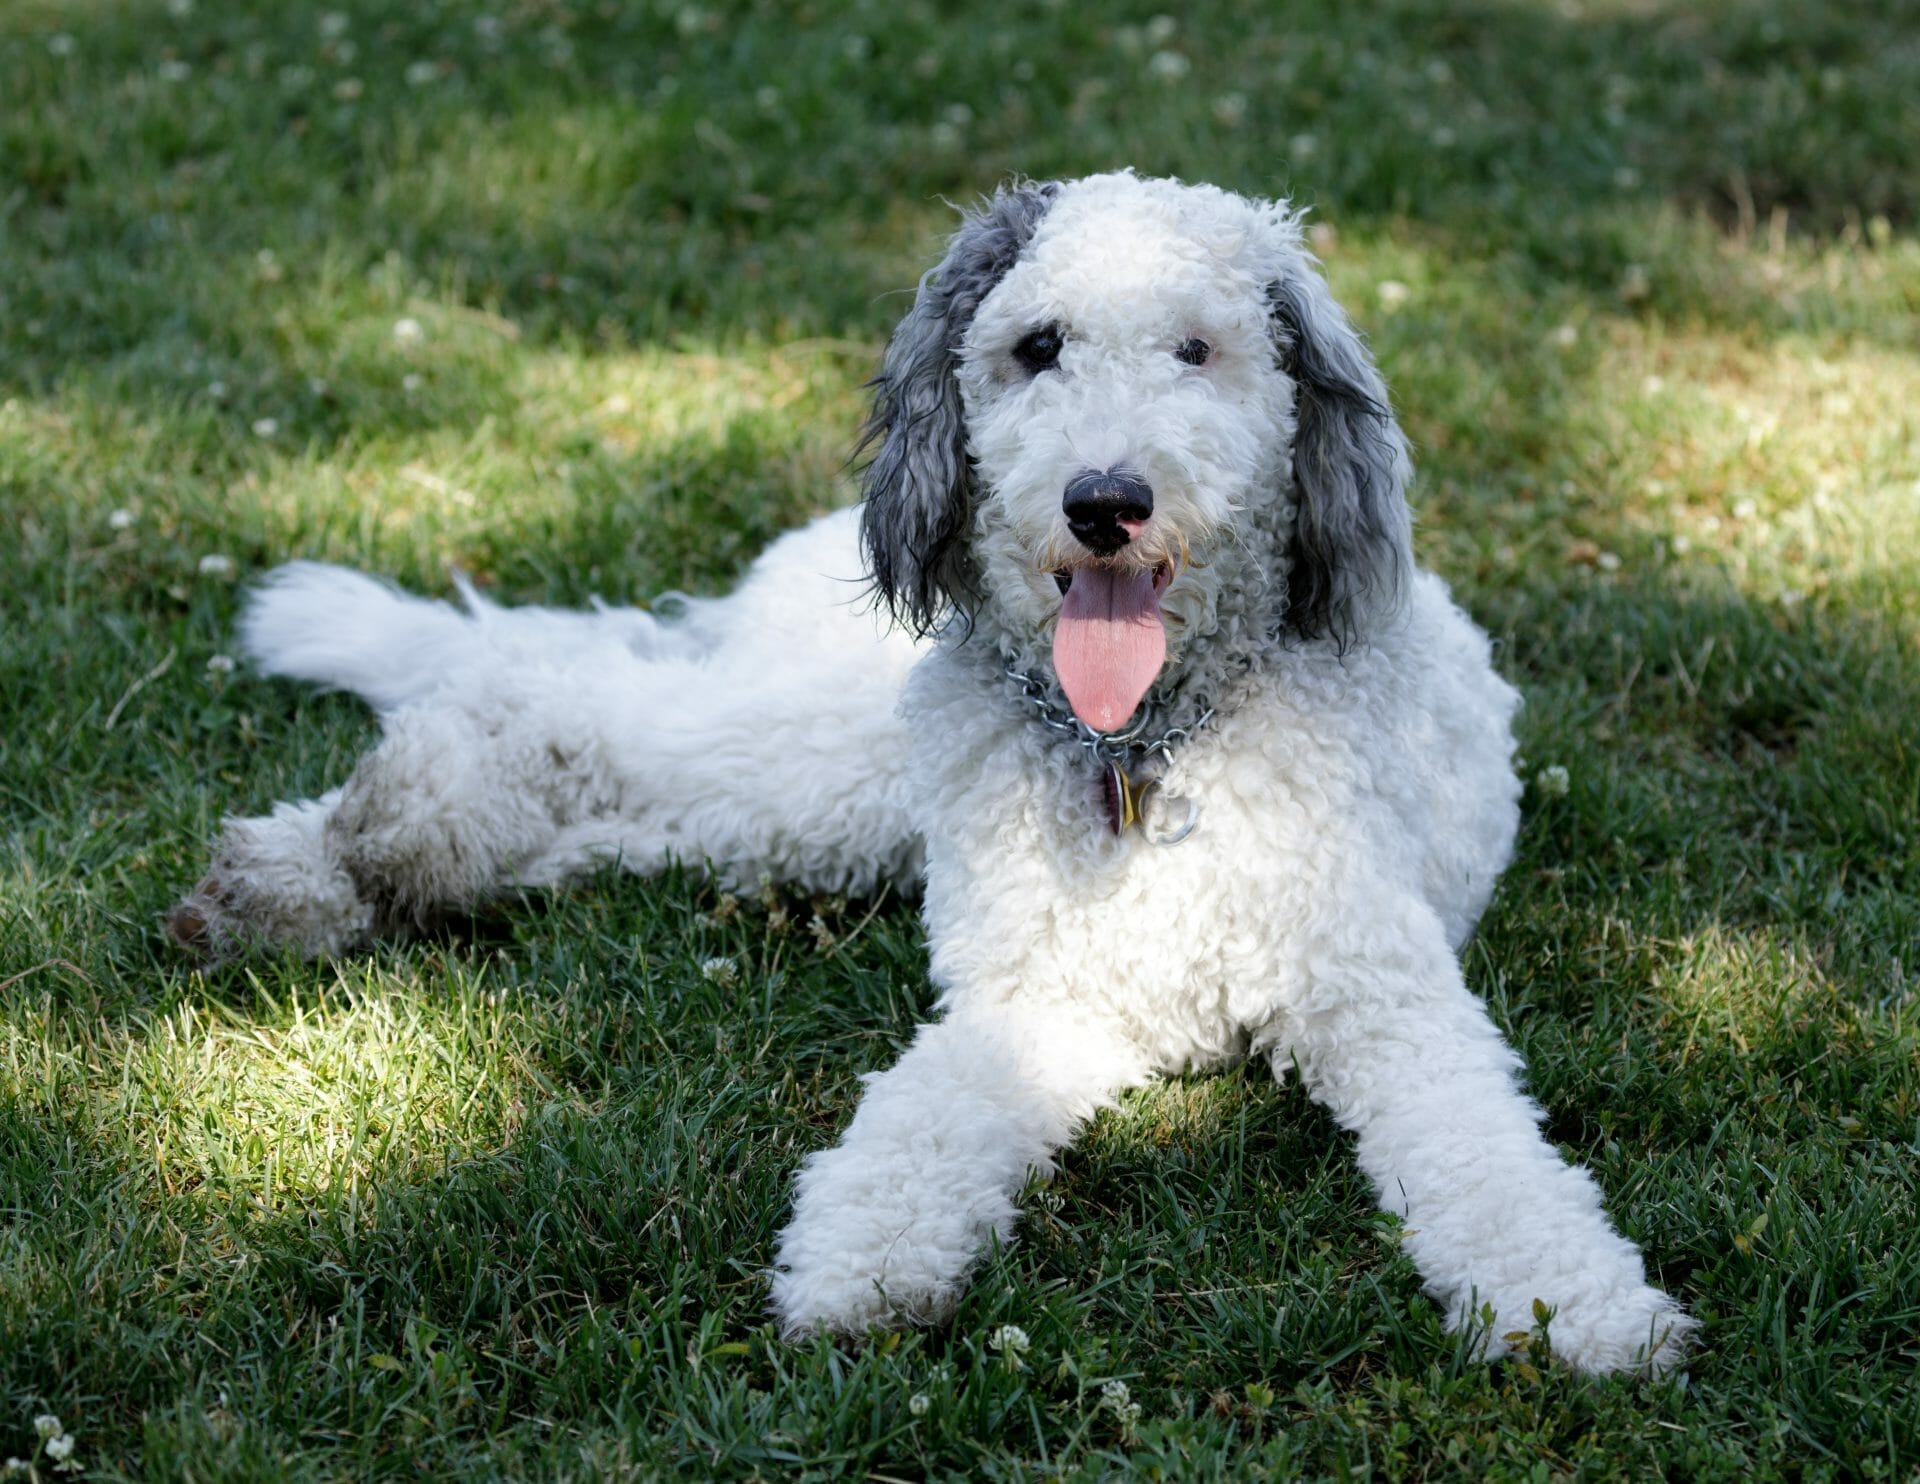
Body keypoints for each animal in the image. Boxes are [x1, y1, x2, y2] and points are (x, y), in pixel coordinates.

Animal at [168, 167, 1697, 1374]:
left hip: (800, 814)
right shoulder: (1033, 991)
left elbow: (1490, 1159)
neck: (1139, 751)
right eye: (1038, 346)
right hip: (829, 763)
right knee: (562, 697)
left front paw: (1578, 1309)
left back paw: (339, 875)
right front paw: (859, 1259)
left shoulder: (1366, 998)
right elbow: (917, 1125)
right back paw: (352, 845)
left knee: (604, 787)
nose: (1104, 501)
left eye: (1199, 348)